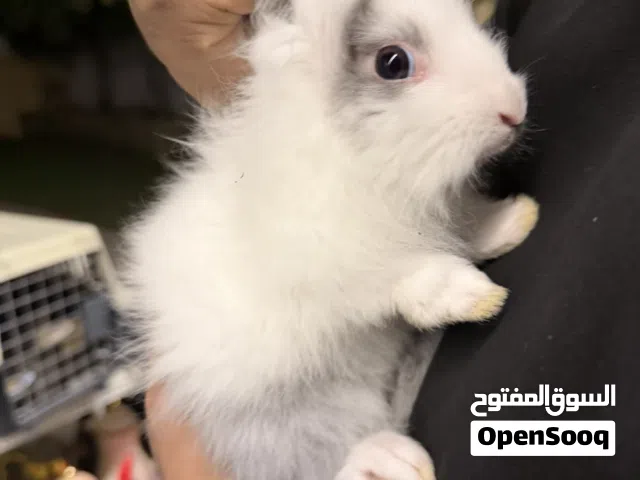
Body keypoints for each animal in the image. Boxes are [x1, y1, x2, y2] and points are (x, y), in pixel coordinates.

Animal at [120, 0, 537, 479]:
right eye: (393, 63)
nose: (513, 107)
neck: (360, 158)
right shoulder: (332, 256)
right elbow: (407, 276)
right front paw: (475, 296)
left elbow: (467, 225)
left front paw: (515, 219)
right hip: (285, 413)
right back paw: (390, 461)